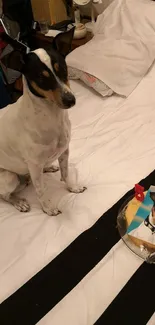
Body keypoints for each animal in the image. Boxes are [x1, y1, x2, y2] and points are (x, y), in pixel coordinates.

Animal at [0, 28, 86, 215]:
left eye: (64, 69)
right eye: (41, 78)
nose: (70, 100)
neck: (52, 115)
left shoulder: (64, 151)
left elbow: (66, 174)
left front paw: (73, 188)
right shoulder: (34, 164)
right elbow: (41, 191)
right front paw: (48, 209)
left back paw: (48, 167)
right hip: (9, 177)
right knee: (5, 196)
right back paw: (19, 202)